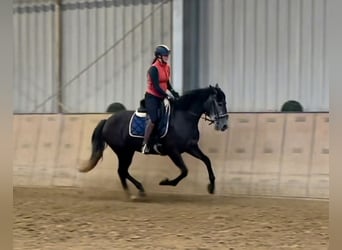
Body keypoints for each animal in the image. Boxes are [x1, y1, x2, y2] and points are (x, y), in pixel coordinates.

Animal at [79, 85, 230, 198]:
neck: (184, 117)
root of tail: (107, 120)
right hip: (123, 152)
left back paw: (139, 190)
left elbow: (206, 160)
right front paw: (166, 182)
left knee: (123, 171)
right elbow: (184, 171)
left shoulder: (191, 147)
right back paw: (132, 194)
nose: (224, 125)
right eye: (219, 103)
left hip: (128, 151)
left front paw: (211, 186)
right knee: (121, 171)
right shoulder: (173, 151)